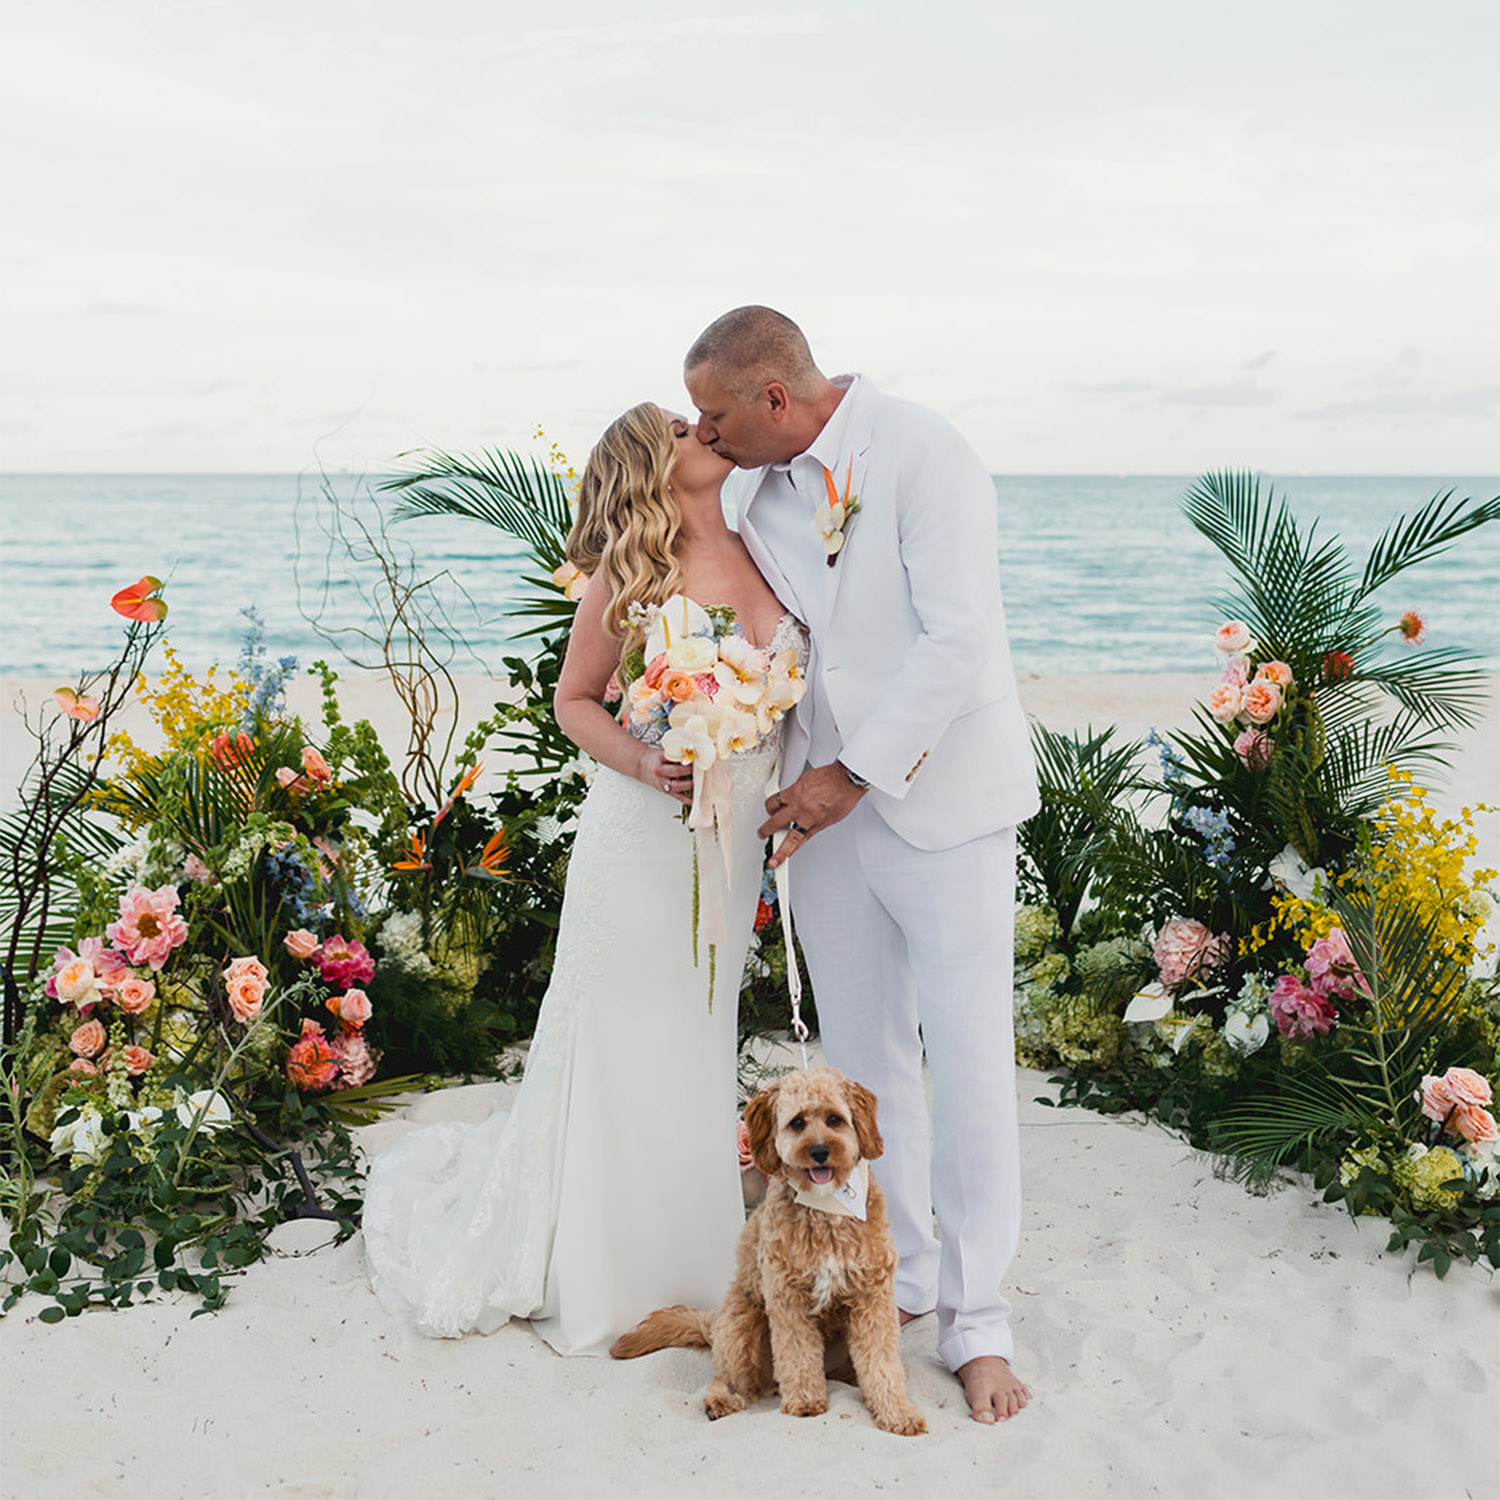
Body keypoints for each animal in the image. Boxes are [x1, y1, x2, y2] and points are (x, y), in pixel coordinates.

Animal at [610, 1068, 926, 1436]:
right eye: (797, 1123)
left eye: (835, 1119)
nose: (820, 1151)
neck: (827, 1208)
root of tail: (712, 1326)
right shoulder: (787, 1298)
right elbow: (798, 1354)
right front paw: (805, 1401)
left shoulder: (872, 1299)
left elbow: (882, 1364)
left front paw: (897, 1413)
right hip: (740, 1325)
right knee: (728, 1377)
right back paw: (722, 1400)